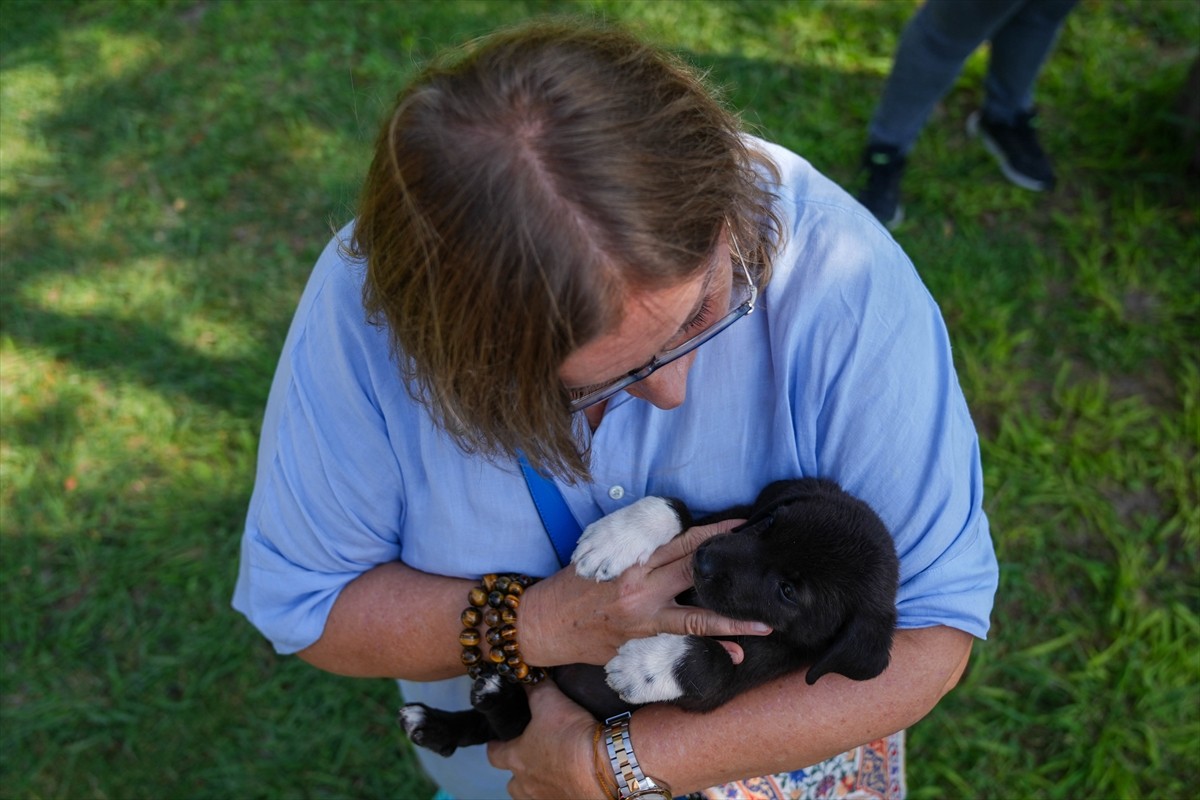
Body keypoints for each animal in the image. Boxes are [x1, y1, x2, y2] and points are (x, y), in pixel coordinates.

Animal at [403, 479, 902, 762]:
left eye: (788, 592)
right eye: (770, 522)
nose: (703, 562)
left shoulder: (751, 672)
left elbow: (711, 663)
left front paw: (643, 667)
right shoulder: (723, 523)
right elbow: (678, 509)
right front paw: (618, 537)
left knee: (508, 730)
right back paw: (445, 717)